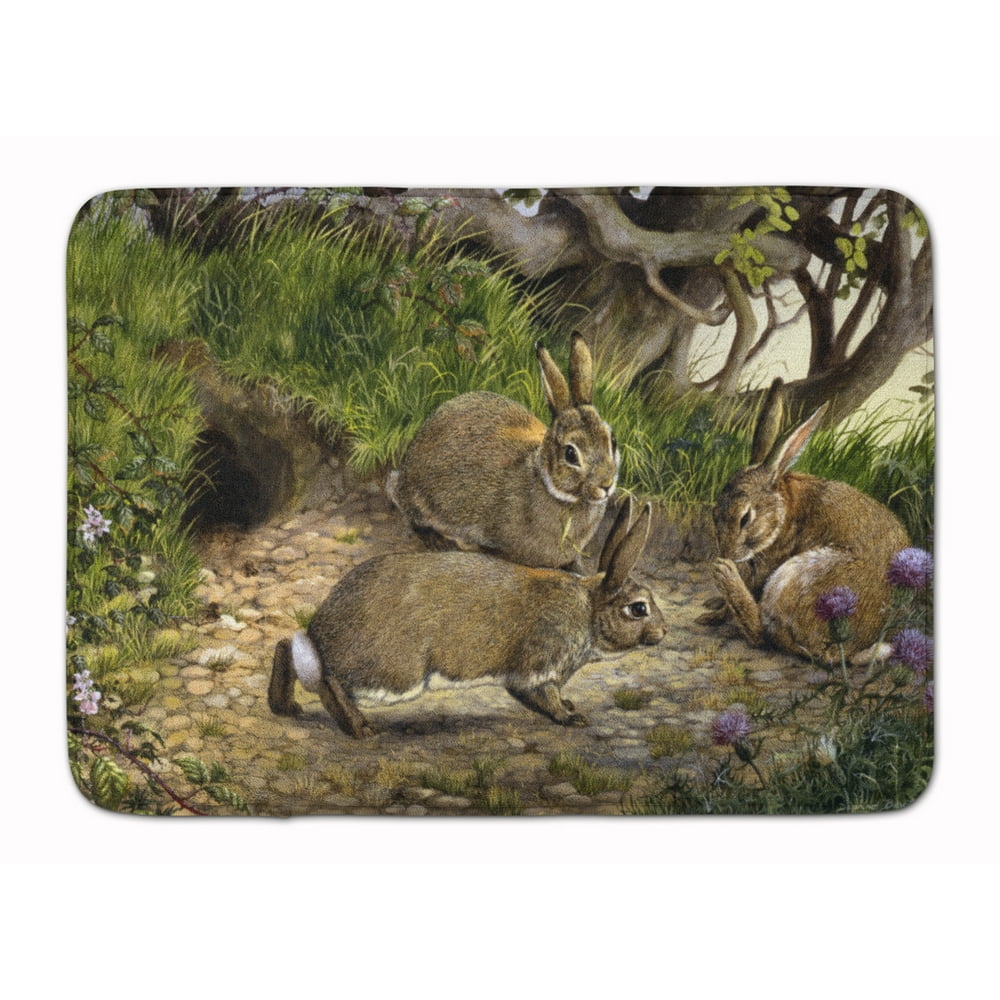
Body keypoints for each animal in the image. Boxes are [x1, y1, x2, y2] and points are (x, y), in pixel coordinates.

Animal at [268, 496, 665, 737]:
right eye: (638, 608)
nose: (663, 631)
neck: (588, 609)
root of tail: (321, 634)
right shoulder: (537, 667)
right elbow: (542, 696)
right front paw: (571, 716)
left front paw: (570, 706)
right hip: (396, 674)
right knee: (328, 680)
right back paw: (360, 729)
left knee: (286, 647)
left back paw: (284, 707)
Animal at [706, 378, 911, 664]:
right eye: (714, 513)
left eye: (745, 518)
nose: (725, 553)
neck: (782, 511)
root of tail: (844, 651)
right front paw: (712, 609)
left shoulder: (770, 562)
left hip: (796, 578)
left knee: (764, 636)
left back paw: (726, 577)